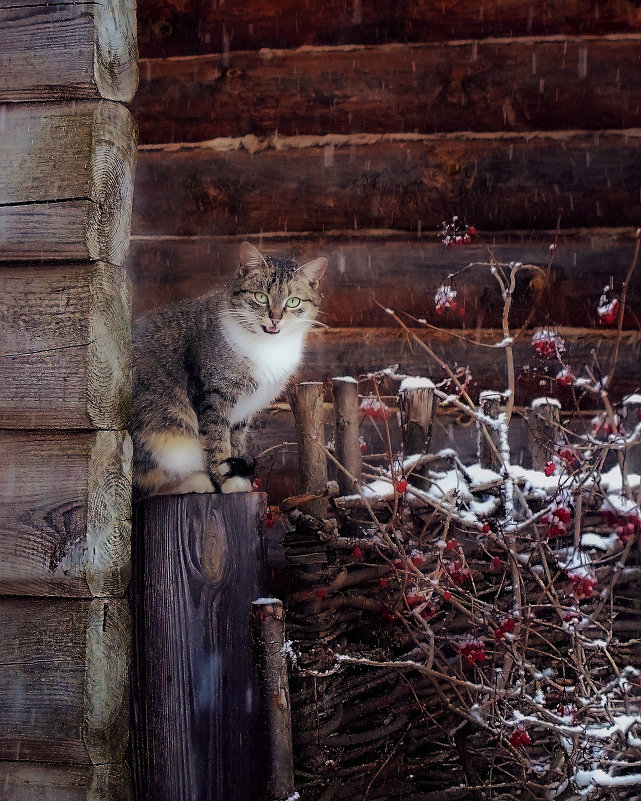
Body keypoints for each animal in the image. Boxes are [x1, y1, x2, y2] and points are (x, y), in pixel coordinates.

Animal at [132, 241, 328, 496]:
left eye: (293, 301)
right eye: (261, 297)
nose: (275, 318)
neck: (269, 348)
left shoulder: (243, 411)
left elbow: (235, 441)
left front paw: (236, 471)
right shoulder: (214, 397)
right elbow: (215, 442)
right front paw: (225, 480)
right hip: (164, 433)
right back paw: (195, 482)